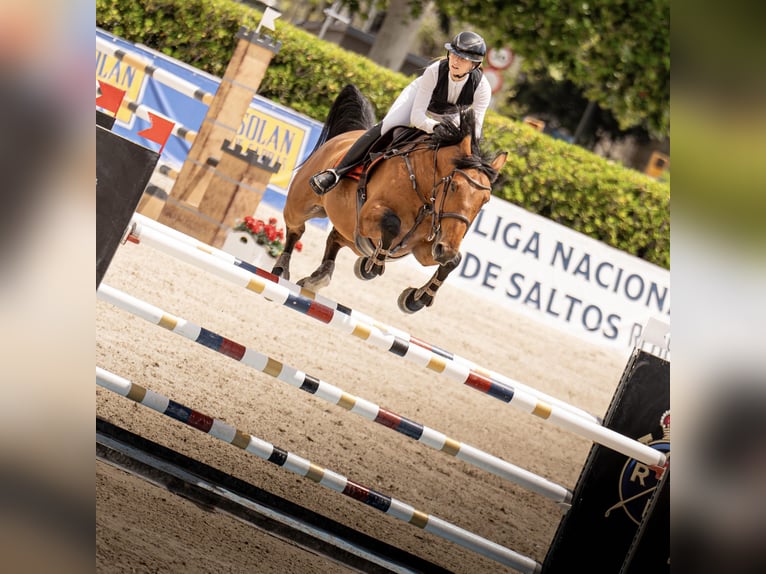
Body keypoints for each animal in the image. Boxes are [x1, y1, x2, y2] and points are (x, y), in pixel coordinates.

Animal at [272, 83, 508, 312]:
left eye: (485, 200)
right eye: (454, 187)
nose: (446, 250)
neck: (423, 193)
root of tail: (345, 137)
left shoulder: (425, 247)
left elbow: (453, 263)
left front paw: (416, 299)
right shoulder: (367, 216)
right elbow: (391, 224)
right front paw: (370, 267)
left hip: (350, 231)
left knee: (335, 238)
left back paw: (318, 278)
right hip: (301, 205)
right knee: (296, 229)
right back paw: (281, 269)